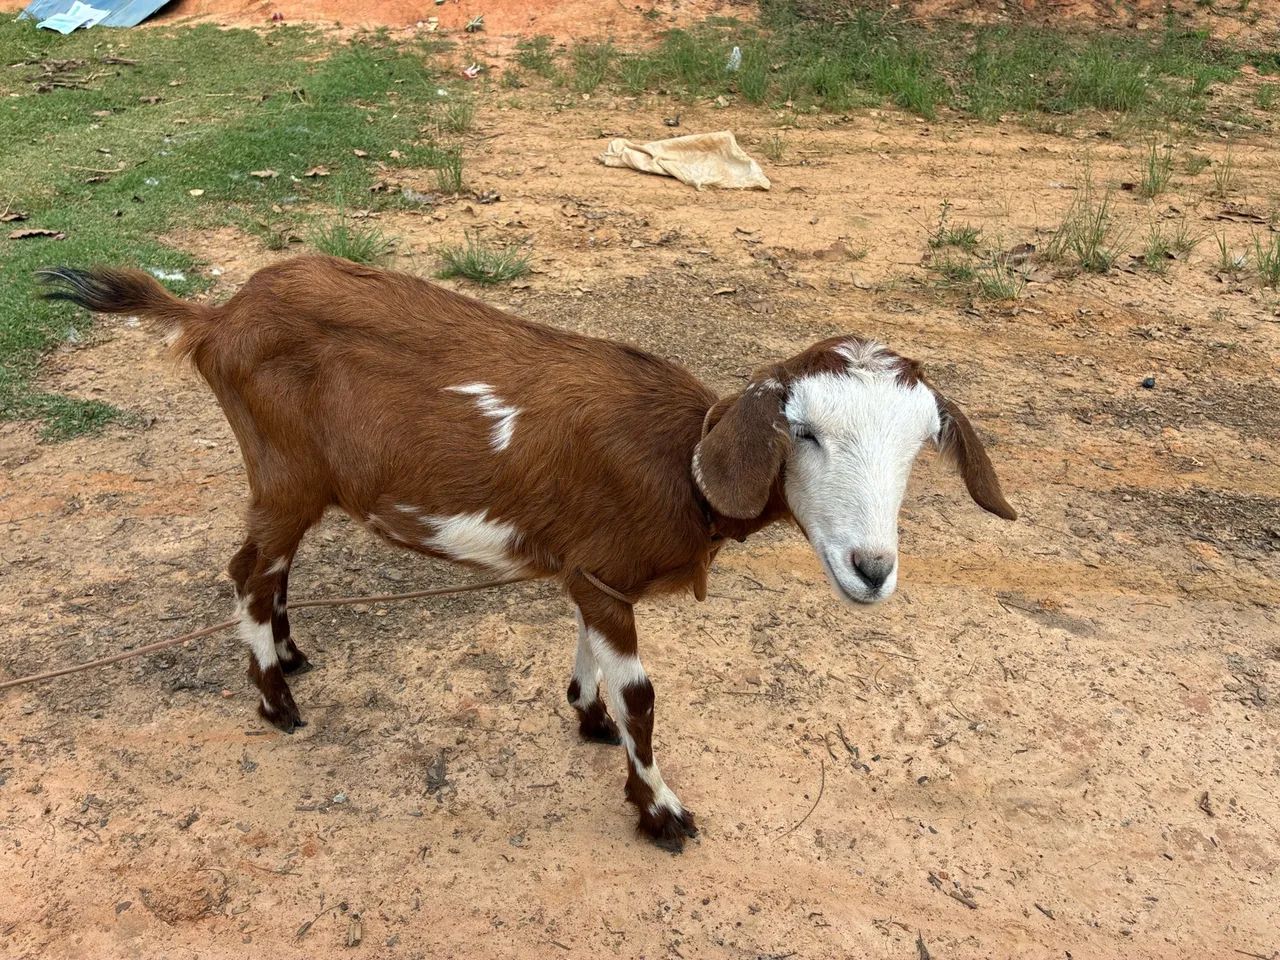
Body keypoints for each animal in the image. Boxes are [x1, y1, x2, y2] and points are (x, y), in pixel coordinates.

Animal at [39, 256, 1016, 851]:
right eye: (802, 434)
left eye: (921, 448)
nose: (871, 569)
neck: (683, 466)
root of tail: (215, 316)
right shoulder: (605, 576)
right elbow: (644, 698)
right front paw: (660, 811)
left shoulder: (593, 573)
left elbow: (595, 662)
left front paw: (586, 718)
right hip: (281, 470)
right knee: (248, 571)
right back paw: (277, 703)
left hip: (298, 483)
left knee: (273, 573)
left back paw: (292, 654)